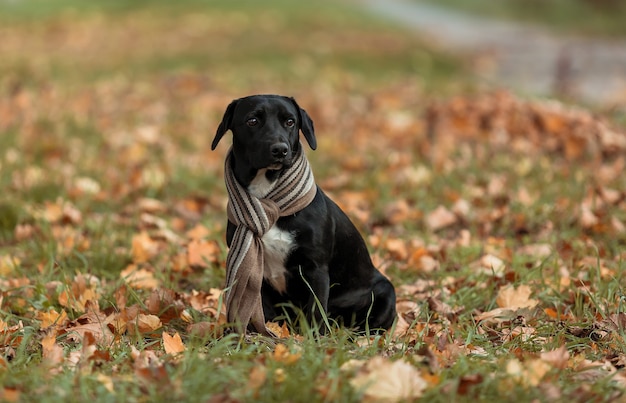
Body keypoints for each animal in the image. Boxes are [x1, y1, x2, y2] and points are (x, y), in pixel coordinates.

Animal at [210, 95, 394, 334]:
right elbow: (264, 312)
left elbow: (316, 310)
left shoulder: (316, 269)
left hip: (385, 292)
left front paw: (314, 339)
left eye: (290, 122)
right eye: (252, 121)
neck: (269, 200)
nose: (280, 149)